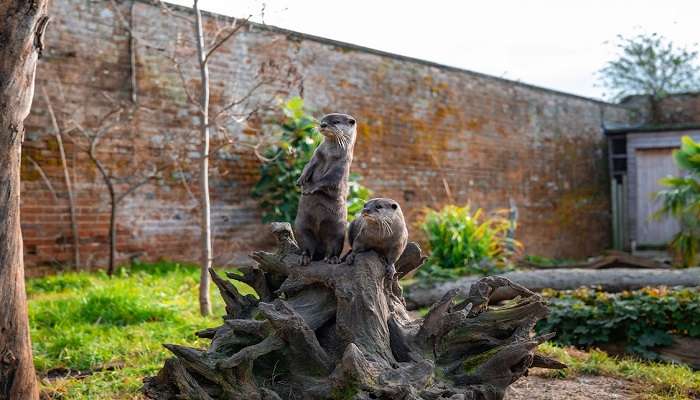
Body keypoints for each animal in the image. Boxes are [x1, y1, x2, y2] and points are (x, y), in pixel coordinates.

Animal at [292, 111, 356, 266]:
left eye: (336, 121)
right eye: (323, 120)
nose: (323, 125)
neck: (330, 154)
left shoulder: (340, 168)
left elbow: (327, 181)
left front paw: (309, 189)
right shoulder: (317, 155)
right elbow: (307, 167)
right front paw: (300, 180)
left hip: (338, 231)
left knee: (332, 247)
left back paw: (332, 259)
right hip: (301, 227)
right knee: (307, 246)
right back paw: (304, 257)